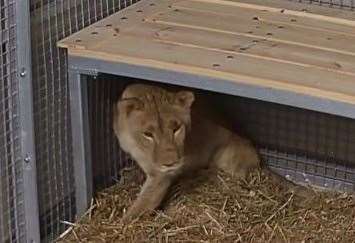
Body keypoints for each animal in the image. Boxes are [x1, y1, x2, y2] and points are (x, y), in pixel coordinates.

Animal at [113, 83, 262, 222]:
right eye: (148, 134)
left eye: (176, 128)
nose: (171, 163)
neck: (136, 144)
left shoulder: (160, 176)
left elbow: (142, 205)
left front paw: (123, 224)